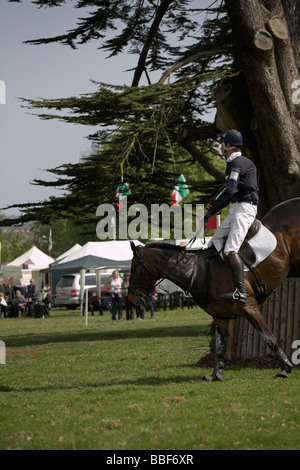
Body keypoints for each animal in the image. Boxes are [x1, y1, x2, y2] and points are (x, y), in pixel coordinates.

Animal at [129, 196, 300, 380]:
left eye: (133, 270)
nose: (131, 300)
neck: (200, 271)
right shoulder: (220, 315)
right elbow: (220, 348)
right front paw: (216, 374)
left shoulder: (250, 307)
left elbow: (269, 337)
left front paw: (285, 368)